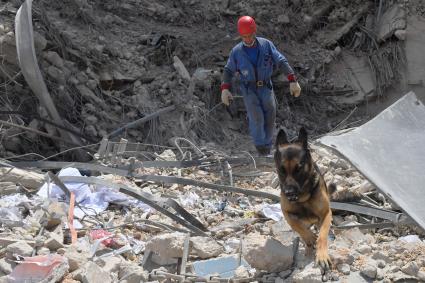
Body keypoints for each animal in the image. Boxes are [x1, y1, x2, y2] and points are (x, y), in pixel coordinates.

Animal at [274, 127, 334, 274]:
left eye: (299, 169)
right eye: (281, 170)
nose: (288, 193)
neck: (302, 198)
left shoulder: (326, 213)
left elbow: (322, 235)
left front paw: (322, 255)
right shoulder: (286, 213)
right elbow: (297, 226)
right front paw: (310, 237)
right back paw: (308, 249)